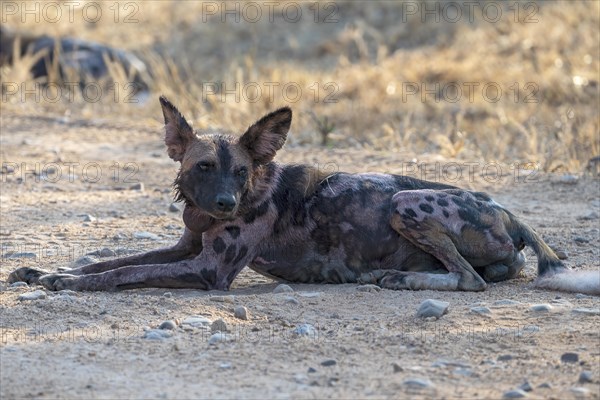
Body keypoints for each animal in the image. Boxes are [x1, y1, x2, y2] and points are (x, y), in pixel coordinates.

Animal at [8, 97, 600, 296]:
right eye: (203, 168)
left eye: (240, 171)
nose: (225, 205)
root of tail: (511, 214)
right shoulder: (184, 251)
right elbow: (109, 261)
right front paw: (46, 272)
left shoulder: (207, 271)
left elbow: (123, 272)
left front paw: (66, 282)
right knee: (478, 276)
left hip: (405, 202)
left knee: (471, 281)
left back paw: (402, 279)